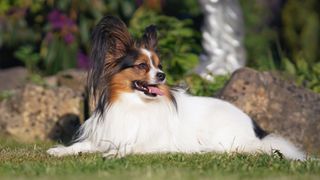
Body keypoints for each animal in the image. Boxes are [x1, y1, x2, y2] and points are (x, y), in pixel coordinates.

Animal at [47, 15, 304, 159]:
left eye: (159, 66)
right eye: (142, 65)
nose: (162, 75)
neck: (134, 103)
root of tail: (255, 129)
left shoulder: (154, 141)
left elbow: (132, 145)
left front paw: (115, 153)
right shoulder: (104, 135)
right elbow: (80, 145)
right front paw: (60, 151)